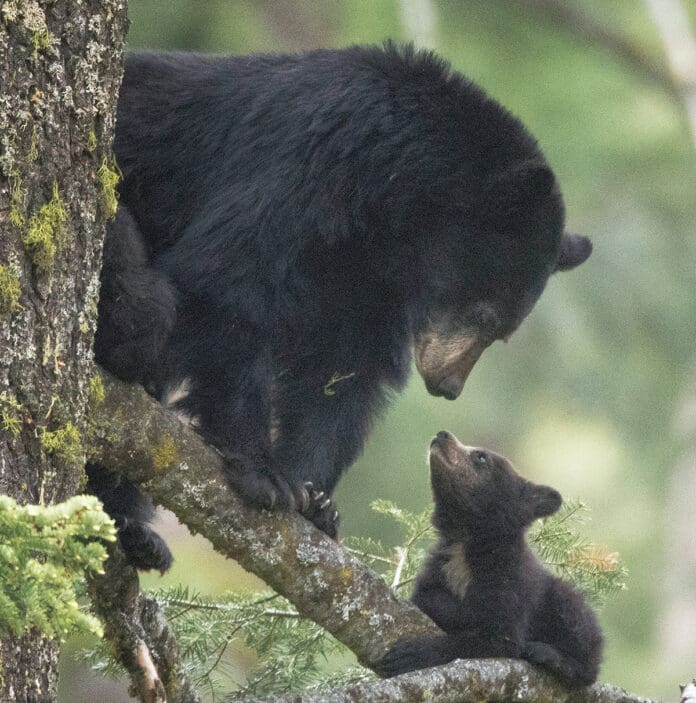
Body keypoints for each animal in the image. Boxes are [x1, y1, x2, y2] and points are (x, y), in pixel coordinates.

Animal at [92, 43, 592, 570]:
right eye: (485, 314)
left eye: (501, 334)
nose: (448, 387)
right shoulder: (305, 161)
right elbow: (231, 277)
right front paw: (263, 472)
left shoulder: (367, 276)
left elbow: (343, 371)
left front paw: (315, 501)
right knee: (145, 304)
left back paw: (134, 533)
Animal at [379, 430, 603, 688]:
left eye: (481, 456)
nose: (442, 434)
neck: (466, 541)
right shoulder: (439, 568)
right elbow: (427, 598)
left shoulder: (510, 583)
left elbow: (496, 639)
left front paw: (411, 653)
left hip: (563, 603)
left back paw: (550, 655)